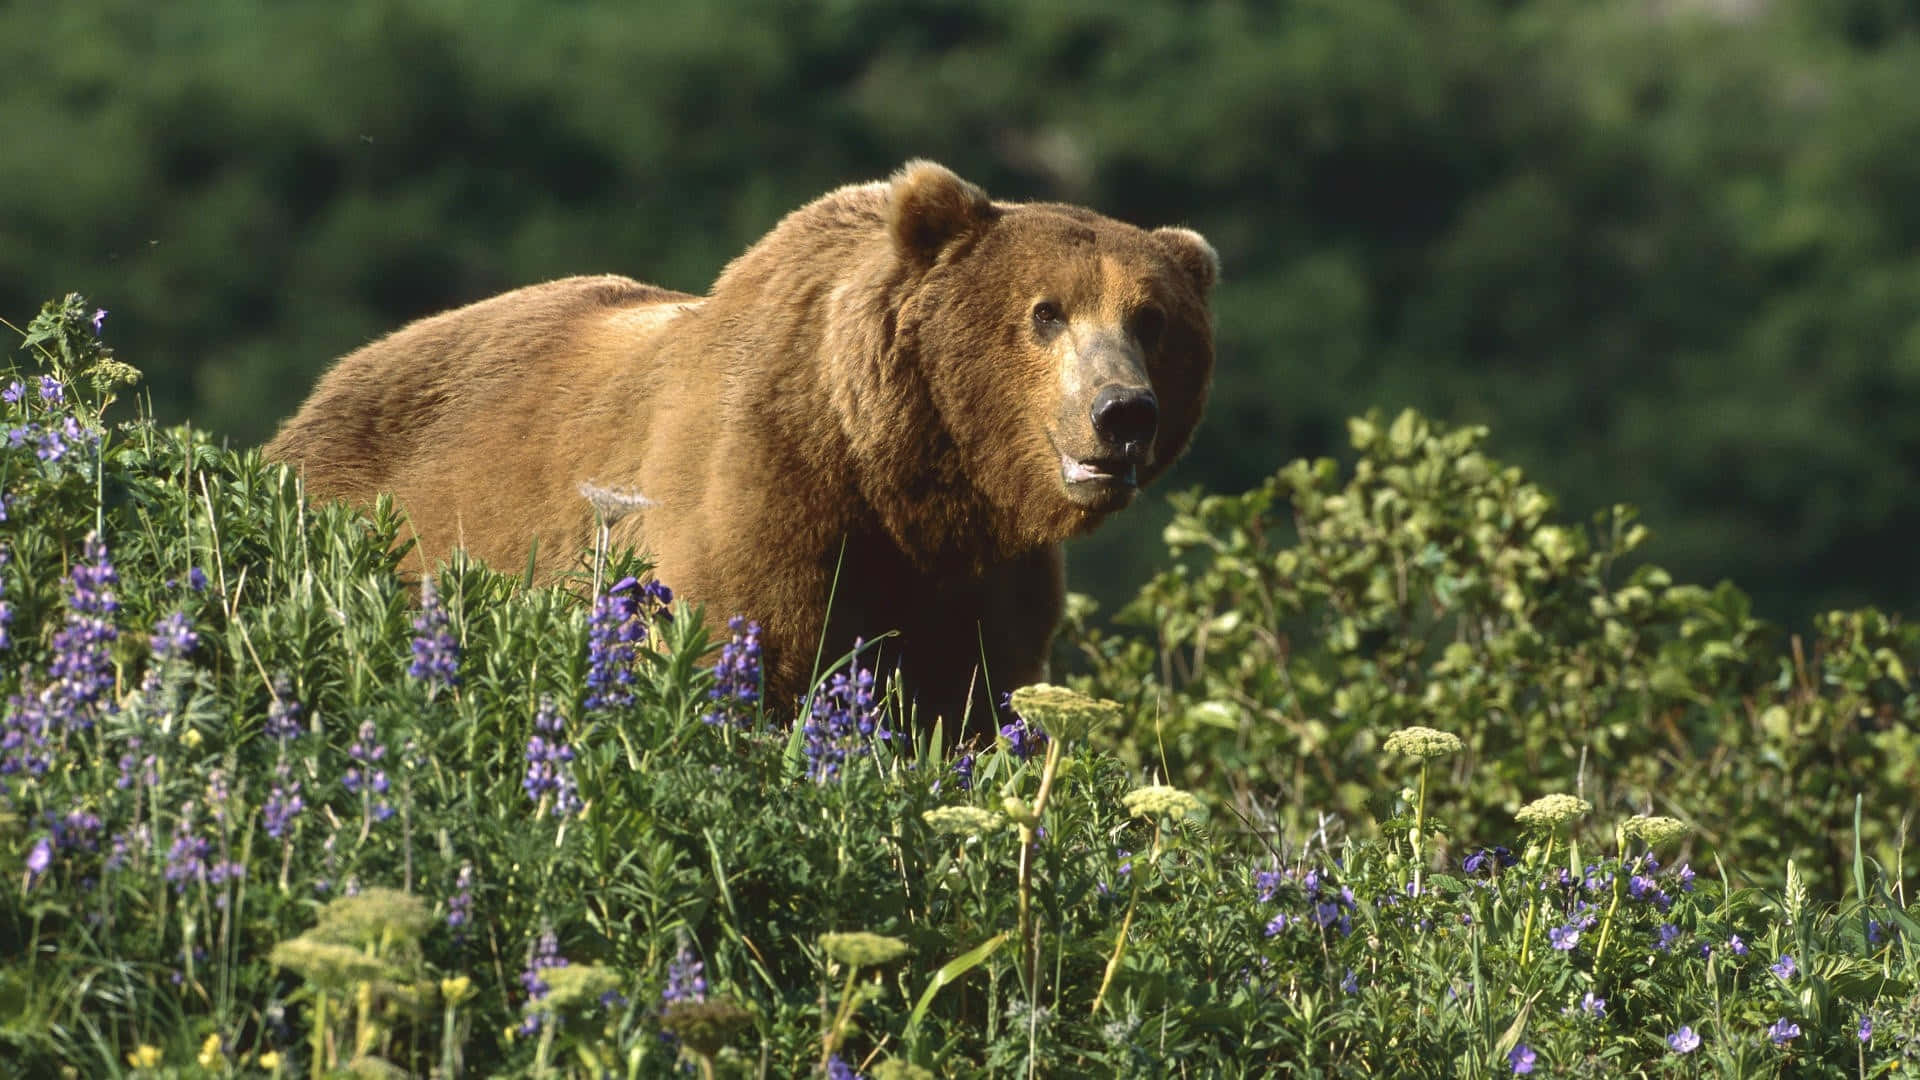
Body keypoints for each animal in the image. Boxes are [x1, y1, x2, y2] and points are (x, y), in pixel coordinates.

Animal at [265, 161, 1217, 724]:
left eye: (1152, 320)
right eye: (1046, 312)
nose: (1122, 412)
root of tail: (321, 391)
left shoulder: (981, 572)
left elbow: (975, 702)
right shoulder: (763, 485)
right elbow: (740, 651)